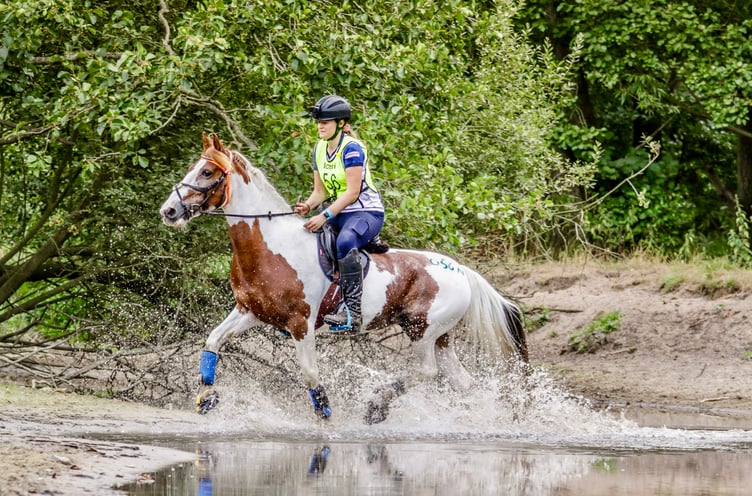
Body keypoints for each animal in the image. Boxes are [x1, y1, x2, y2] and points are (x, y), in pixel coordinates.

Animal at [159, 133, 528, 424]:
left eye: (207, 172)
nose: (169, 211)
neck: (270, 246)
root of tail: (463, 271)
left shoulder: (301, 323)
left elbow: (310, 376)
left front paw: (325, 417)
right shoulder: (250, 311)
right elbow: (212, 341)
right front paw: (206, 398)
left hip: (421, 329)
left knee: (427, 371)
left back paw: (377, 405)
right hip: (441, 337)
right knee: (461, 381)